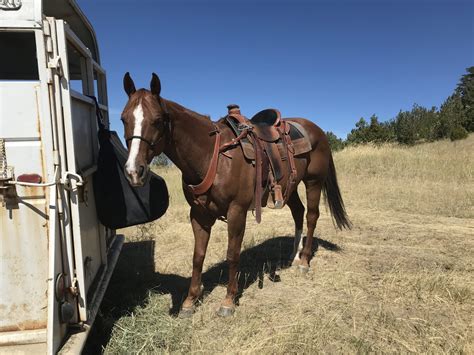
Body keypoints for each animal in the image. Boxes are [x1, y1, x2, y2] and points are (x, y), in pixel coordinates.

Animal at [120, 71, 350, 318]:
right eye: (123, 119)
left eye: (157, 120)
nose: (133, 171)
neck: (213, 155)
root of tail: (318, 130)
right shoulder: (198, 215)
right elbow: (197, 256)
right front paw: (190, 301)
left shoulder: (237, 212)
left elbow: (232, 254)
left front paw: (228, 301)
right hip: (290, 185)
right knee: (298, 212)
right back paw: (294, 256)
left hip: (313, 182)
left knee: (312, 216)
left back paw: (305, 261)